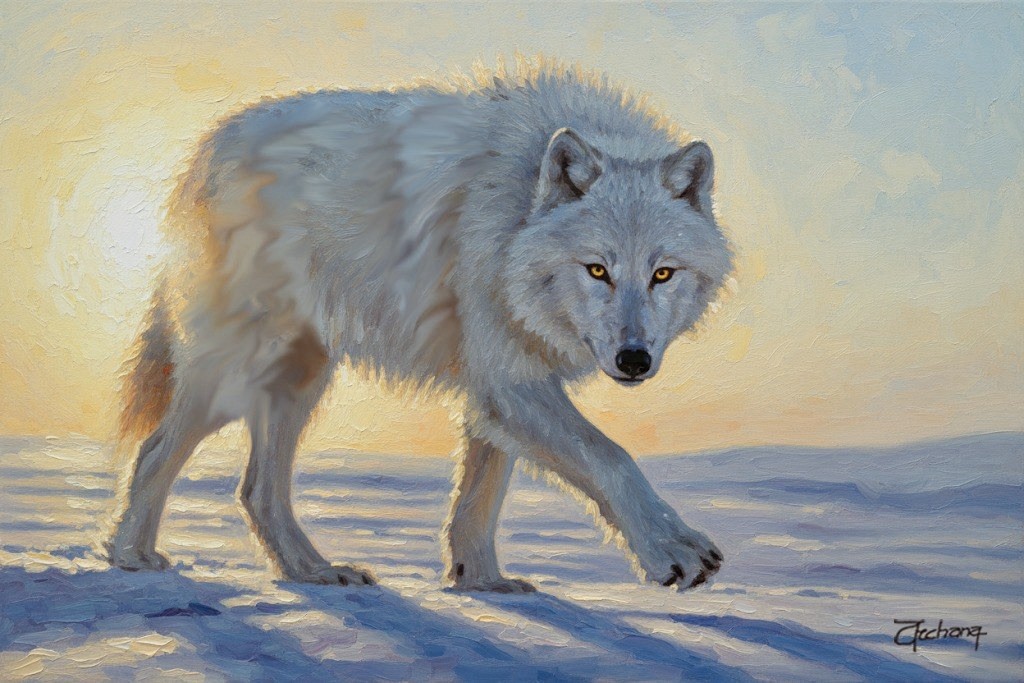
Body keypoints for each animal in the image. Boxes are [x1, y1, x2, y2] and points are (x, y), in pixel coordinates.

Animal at [109, 64, 732, 593]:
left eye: (662, 273)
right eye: (598, 269)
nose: (634, 360)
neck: (513, 221)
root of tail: (210, 145)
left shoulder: (496, 389)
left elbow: (480, 498)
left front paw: (482, 582)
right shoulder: (510, 380)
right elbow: (610, 457)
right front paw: (675, 552)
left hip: (299, 378)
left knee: (258, 490)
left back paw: (314, 573)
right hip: (244, 368)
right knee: (156, 449)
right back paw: (130, 557)